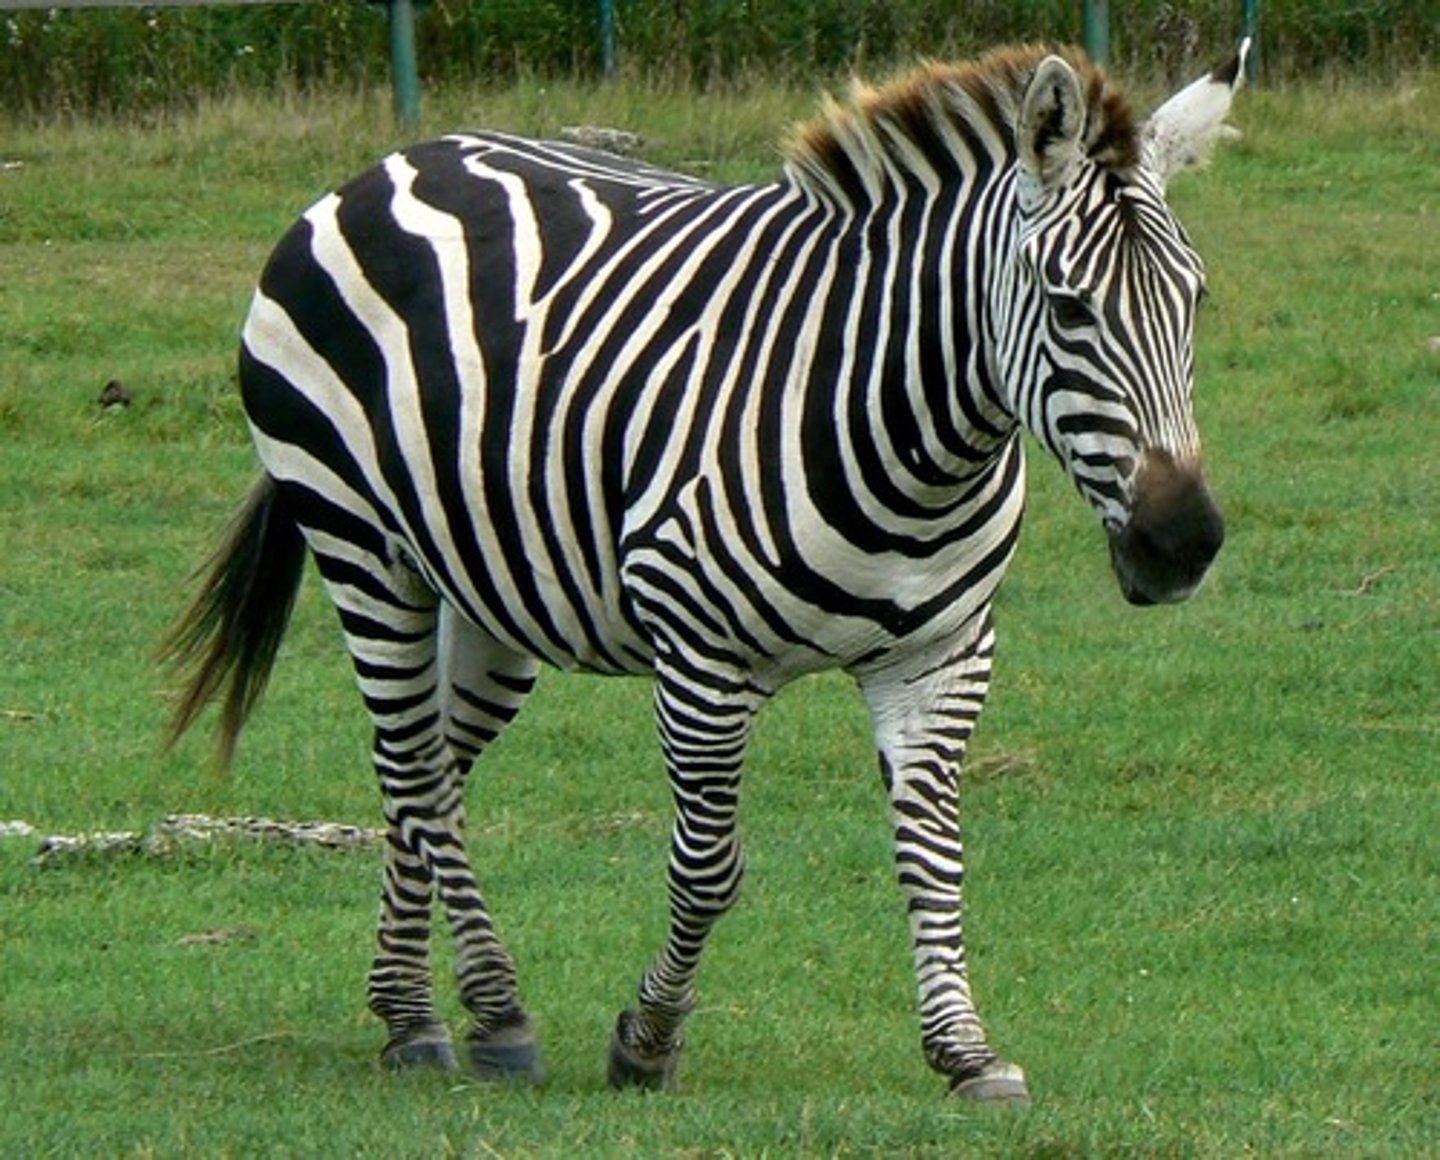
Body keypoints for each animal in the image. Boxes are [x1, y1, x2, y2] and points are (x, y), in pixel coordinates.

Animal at [163, 42, 1247, 1102]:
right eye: (1069, 309)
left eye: (1194, 298)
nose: (1183, 541)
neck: (915, 441)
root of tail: (385, 167)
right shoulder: (703, 660)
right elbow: (709, 869)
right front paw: (647, 1041)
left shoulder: (941, 656)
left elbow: (934, 852)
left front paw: (965, 1050)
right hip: (360, 543)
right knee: (413, 771)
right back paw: (490, 1013)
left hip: (490, 589)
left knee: (431, 771)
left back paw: (410, 1009)